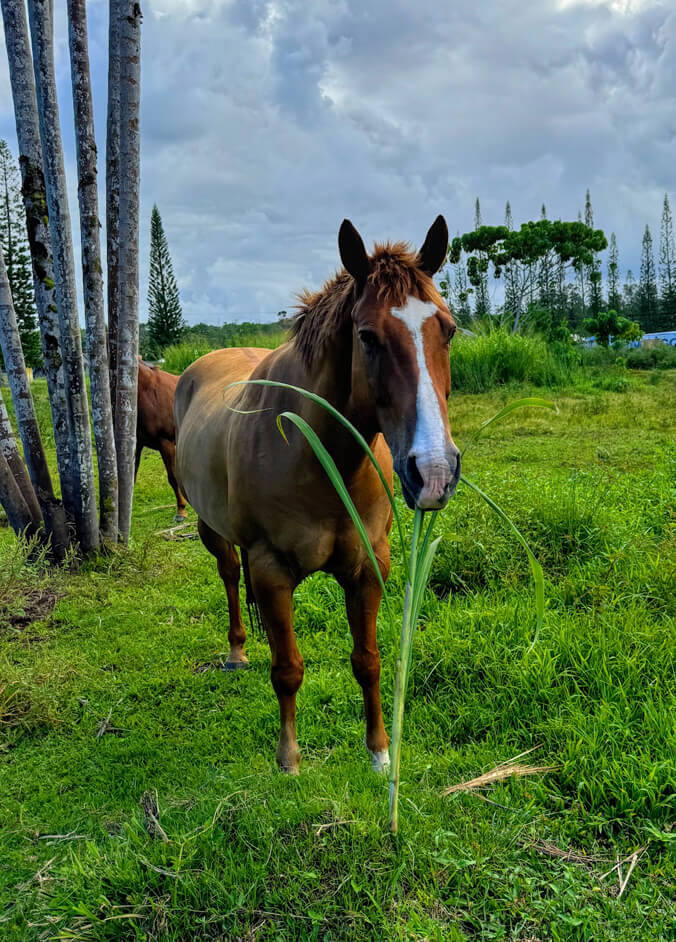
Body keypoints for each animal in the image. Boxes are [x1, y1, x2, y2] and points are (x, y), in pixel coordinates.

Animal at [174, 219, 460, 776]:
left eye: (449, 329)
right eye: (367, 337)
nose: (434, 472)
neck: (319, 457)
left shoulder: (369, 567)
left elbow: (367, 661)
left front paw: (380, 752)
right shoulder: (272, 570)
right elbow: (287, 668)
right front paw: (289, 757)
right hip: (211, 529)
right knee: (229, 575)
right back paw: (237, 651)